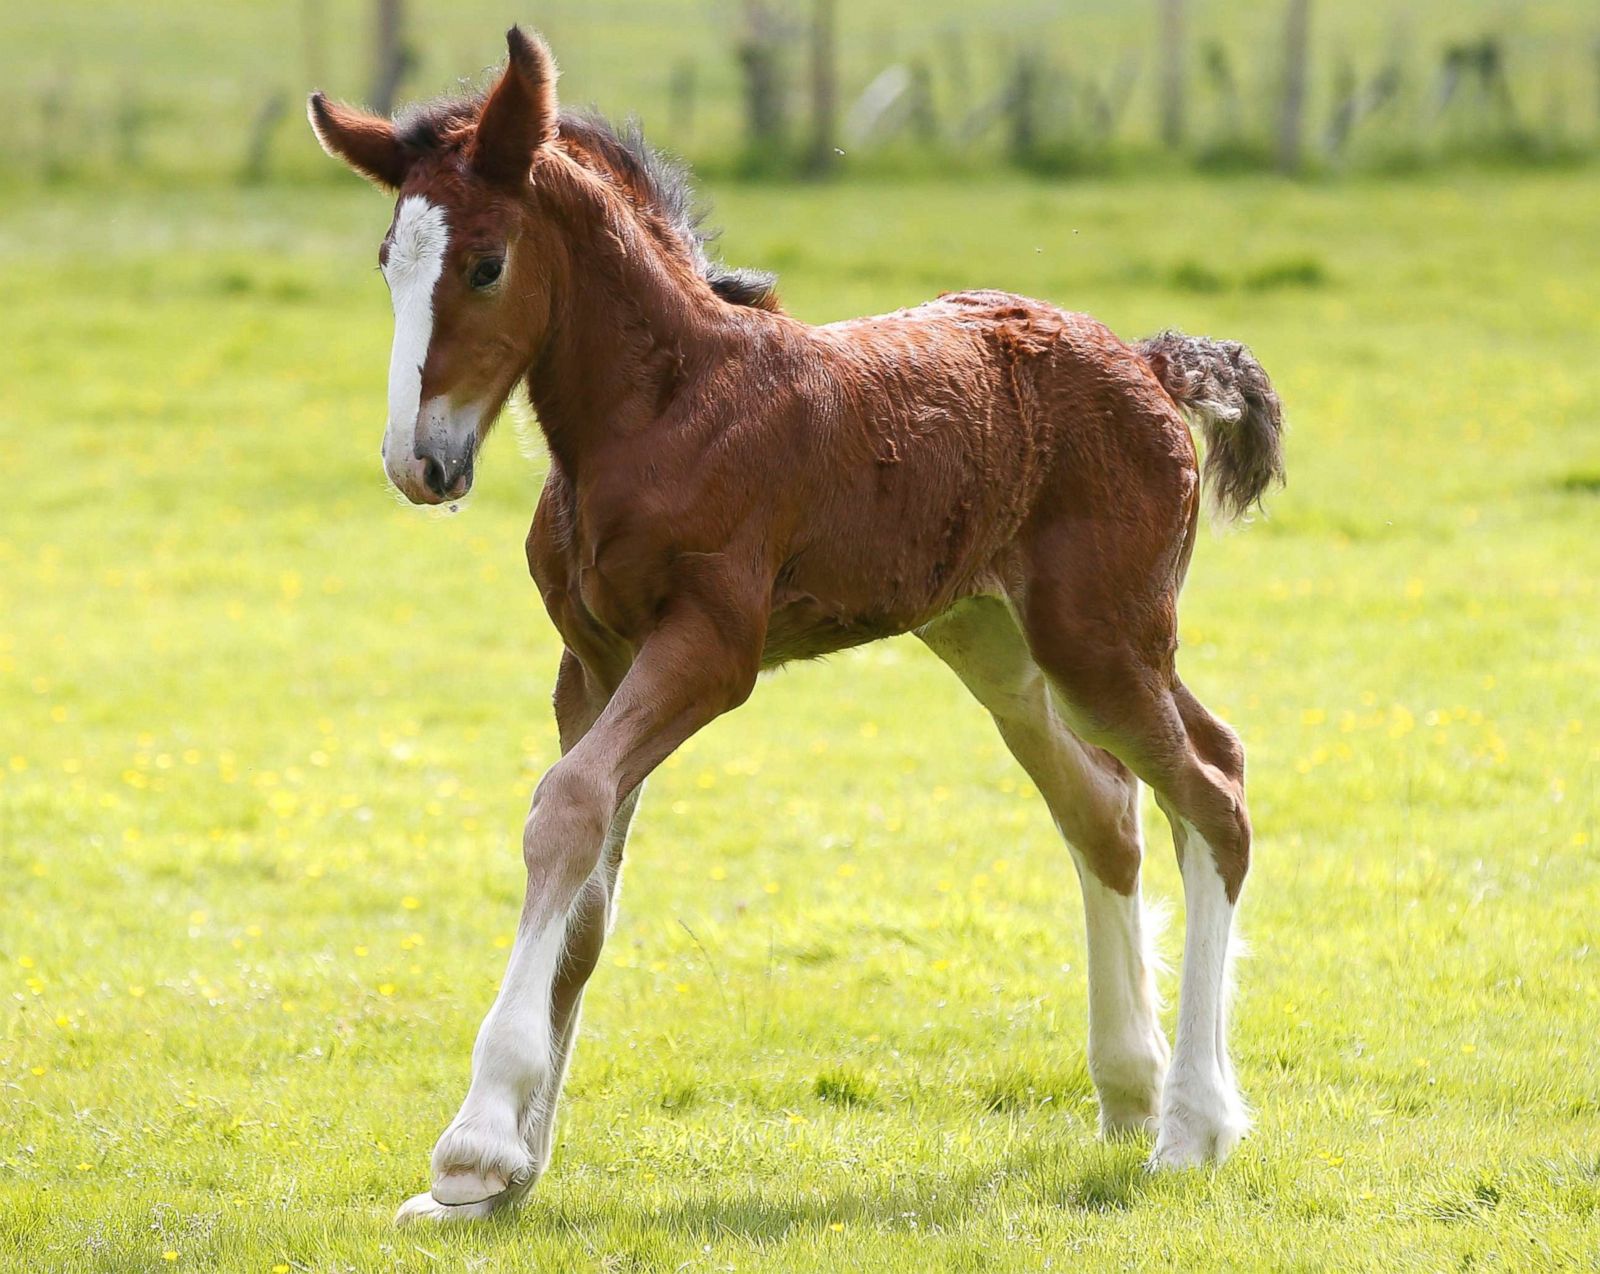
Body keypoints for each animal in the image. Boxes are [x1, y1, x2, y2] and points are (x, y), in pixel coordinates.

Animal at [308, 27, 1286, 1222]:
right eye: (387, 261)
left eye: (487, 264)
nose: (421, 463)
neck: (660, 411)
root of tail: (1148, 363)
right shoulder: (591, 662)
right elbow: (588, 897)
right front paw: (506, 1180)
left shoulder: (710, 647)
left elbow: (565, 807)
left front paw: (475, 1147)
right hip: (997, 643)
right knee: (1106, 804)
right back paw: (1131, 1092)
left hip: (1101, 636)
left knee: (1212, 787)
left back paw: (1193, 1126)